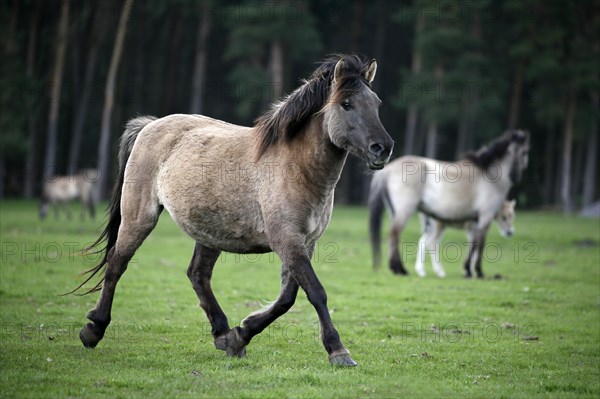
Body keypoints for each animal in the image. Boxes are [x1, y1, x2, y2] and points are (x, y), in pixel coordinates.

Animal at [69, 54, 394, 368]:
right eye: (347, 104)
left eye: (377, 103)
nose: (383, 148)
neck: (295, 166)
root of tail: (150, 125)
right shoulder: (287, 240)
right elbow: (315, 292)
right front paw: (338, 351)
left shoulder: (305, 242)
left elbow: (287, 297)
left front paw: (241, 335)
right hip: (139, 217)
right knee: (117, 263)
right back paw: (94, 330)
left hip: (209, 233)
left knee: (198, 275)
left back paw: (223, 334)